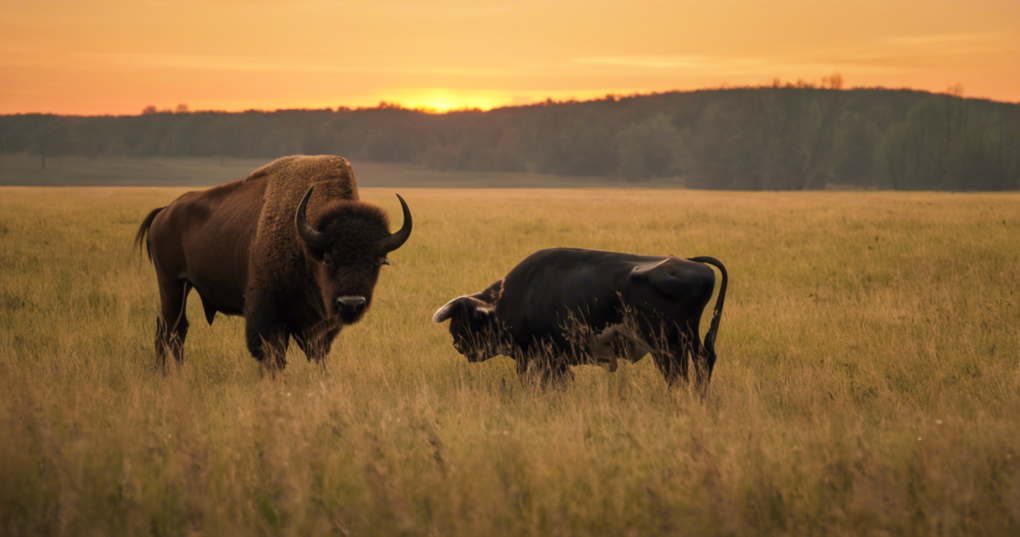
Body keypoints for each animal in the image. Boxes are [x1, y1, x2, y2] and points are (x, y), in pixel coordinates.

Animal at [134, 155, 411, 373]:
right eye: (327, 258)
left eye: (377, 261)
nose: (351, 303)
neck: (305, 244)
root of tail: (164, 212)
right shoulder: (267, 311)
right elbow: (272, 356)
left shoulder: (318, 323)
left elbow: (318, 353)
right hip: (172, 284)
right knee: (169, 330)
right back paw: (166, 375)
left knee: (176, 331)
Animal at [432, 248, 727, 391]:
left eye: (463, 323)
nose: (456, 343)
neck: (503, 300)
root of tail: (695, 265)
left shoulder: (543, 357)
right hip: (688, 342)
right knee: (703, 362)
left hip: (667, 347)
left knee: (679, 374)